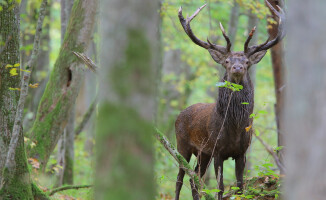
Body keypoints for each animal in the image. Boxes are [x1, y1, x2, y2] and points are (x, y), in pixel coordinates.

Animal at [174, 0, 284, 199]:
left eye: (247, 62)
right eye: (226, 61)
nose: (237, 67)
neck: (235, 127)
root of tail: (178, 115)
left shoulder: (242, 152)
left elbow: (240, 186)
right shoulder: (218, 150)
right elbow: (221, 186)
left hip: (203, 153)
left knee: (194, 178)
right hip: (182, 145)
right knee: (180, 178)